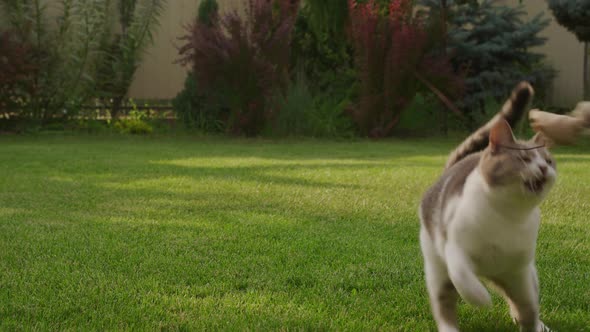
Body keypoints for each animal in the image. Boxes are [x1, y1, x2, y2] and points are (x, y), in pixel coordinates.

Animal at [420, 81, 556, 330]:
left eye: (549, 161)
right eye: (524, 159)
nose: (544, 168)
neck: (507, 216)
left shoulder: (520, 273)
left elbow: (528, 307)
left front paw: (533, 324)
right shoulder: (455, 250)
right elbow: (464, 279)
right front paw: (482, 299)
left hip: (524, 275)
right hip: (437, 268)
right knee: (444, 304)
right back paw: (450, 326)